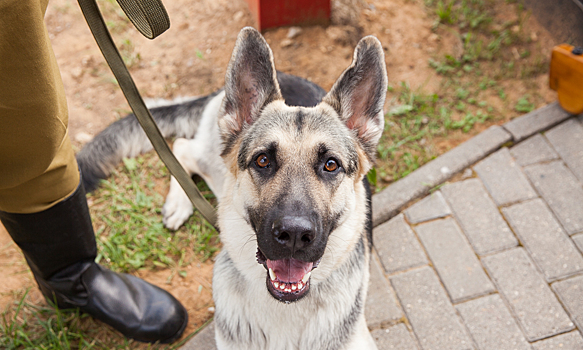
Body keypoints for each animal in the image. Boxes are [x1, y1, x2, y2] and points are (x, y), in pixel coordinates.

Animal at [77, 26, 388, 348]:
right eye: (263, 160)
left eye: (330, 165)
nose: (294, 235)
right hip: (214, 164)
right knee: (181, 147)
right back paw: (179, 202)